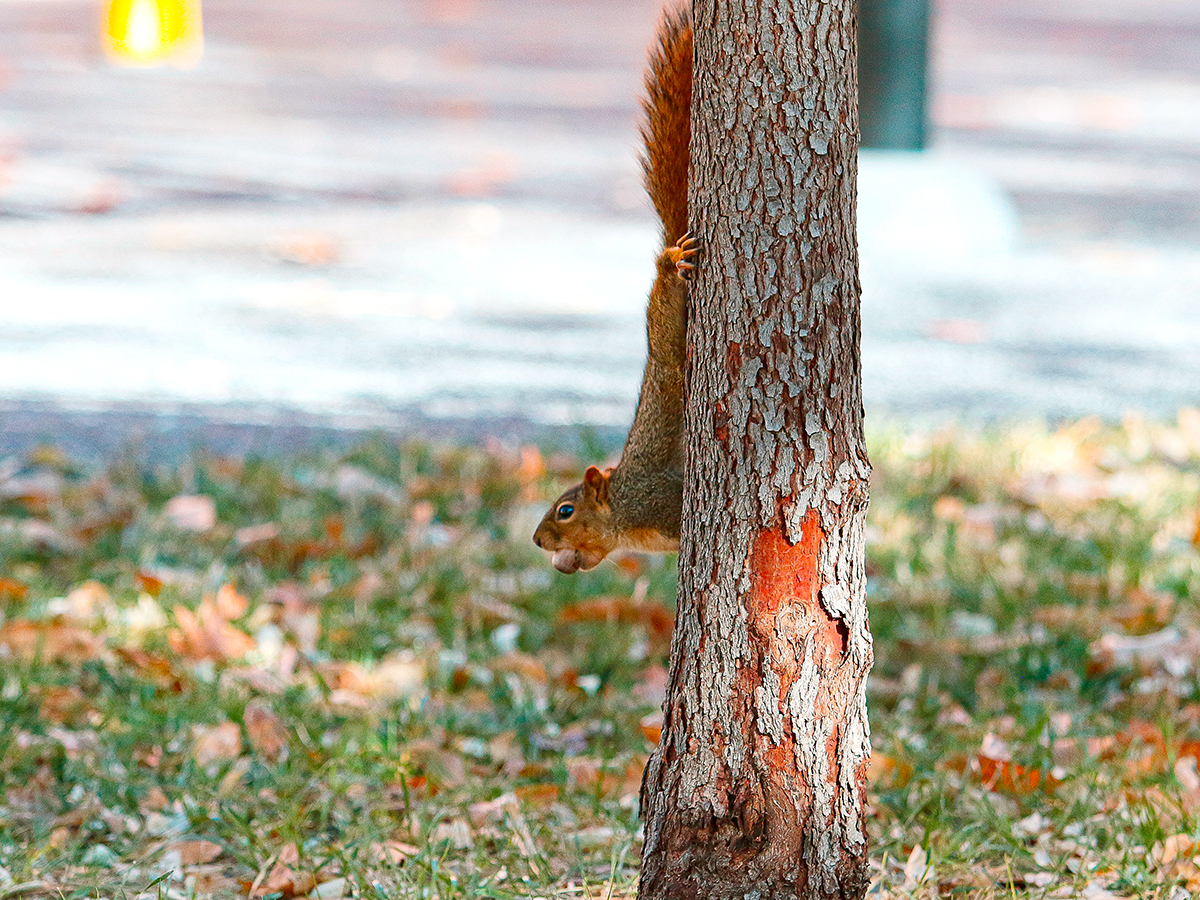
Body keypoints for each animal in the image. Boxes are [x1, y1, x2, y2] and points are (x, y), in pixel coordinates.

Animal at [533, 7, 695, 574]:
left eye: (564, 510)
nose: (537, 540)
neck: (623, 509)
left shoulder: (660, 503)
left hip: (667, 325)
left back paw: (670, 263)